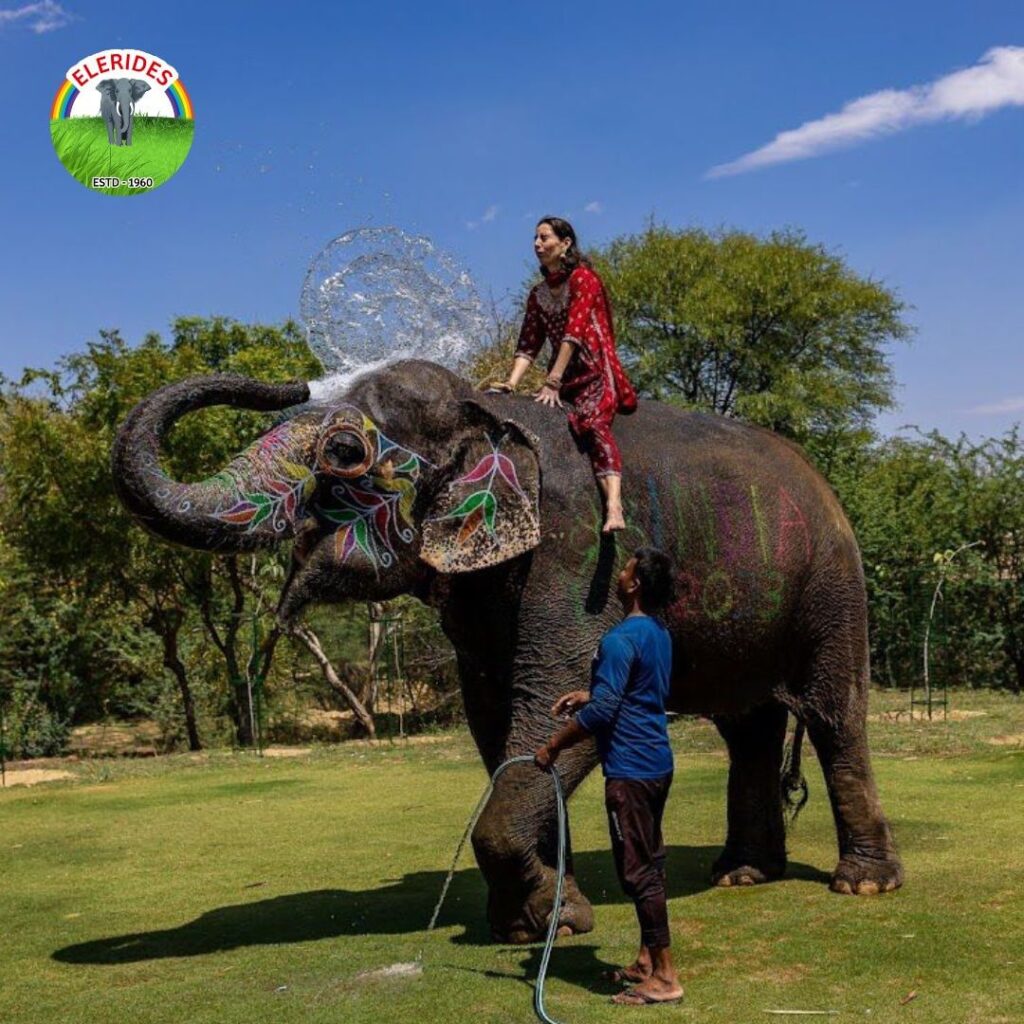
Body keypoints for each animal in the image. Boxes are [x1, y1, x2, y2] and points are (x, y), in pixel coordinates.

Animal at [112, 360, 905, 942]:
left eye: (345, 453)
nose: (292, 384)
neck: (485, 411)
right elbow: (498, 721)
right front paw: (537, 922)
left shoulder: (581, 547)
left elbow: (565, 697)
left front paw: (554, 919)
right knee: (749, 728)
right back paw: (741, 875)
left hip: (832, 584)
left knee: (833, 718)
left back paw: (862, 883)